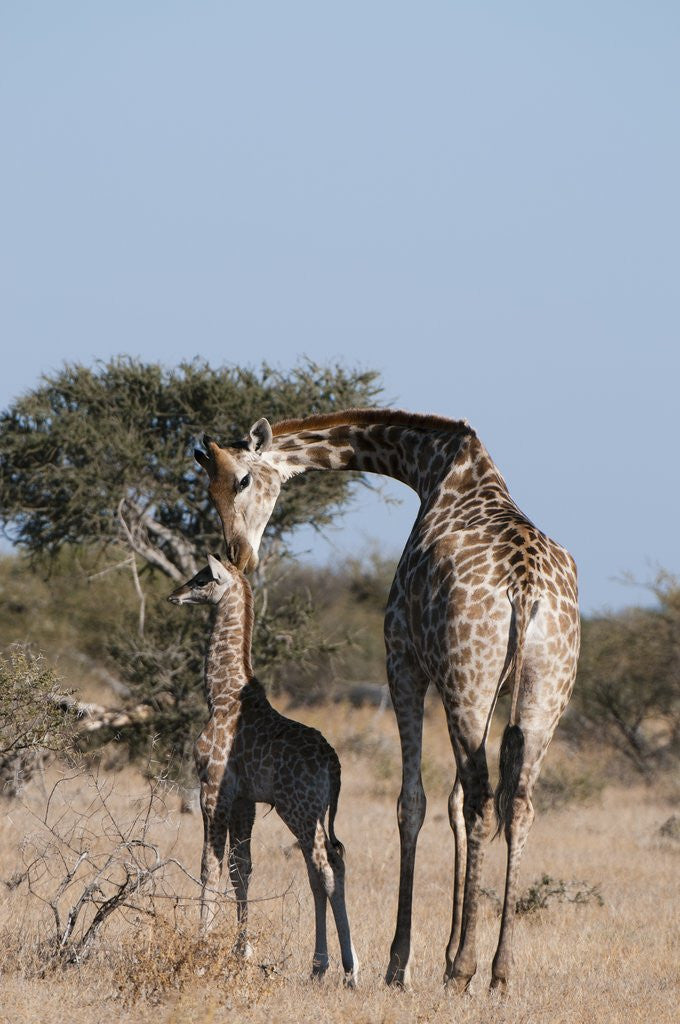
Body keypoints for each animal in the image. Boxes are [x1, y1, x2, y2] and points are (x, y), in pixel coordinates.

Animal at [168, 554, 358, 986]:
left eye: (203, 578)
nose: (175, 595)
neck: (221, 695)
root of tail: (334, 765)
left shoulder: (213, 789)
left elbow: (209, 866)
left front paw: (201, 950)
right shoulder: (245, 801)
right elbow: (242, 869)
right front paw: (241, 951)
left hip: (300, 809)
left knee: (325, 869)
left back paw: (349, 970)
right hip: (312, 813)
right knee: (327, 865)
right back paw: (321, 966)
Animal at [194, 408, 580, 993]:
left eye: (241, 480)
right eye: (207, 490)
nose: (238, 555)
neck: (432, 468)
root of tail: (527, 588)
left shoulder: (402, 657)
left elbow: (412, 802)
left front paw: (401, 963)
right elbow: (450, 803)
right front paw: (440, 952)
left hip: (469, 680)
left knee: (480, 799)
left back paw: (464, 970)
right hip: (543, 691)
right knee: (516, 804)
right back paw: (499, 971)